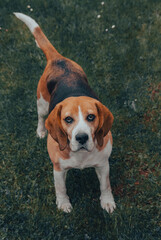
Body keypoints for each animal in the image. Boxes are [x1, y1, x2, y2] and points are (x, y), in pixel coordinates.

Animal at [14, 12, 115, 213]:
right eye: (68, 119)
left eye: (91, 117)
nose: (82, 137)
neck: (81, 155)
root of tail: (57, 59)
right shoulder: (58, 169)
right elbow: (60, 188)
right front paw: (63, 204)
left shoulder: (103, 164)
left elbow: (105, 185)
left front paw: (107, 202)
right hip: (41, 102)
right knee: (40, 117)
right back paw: (40, 131)